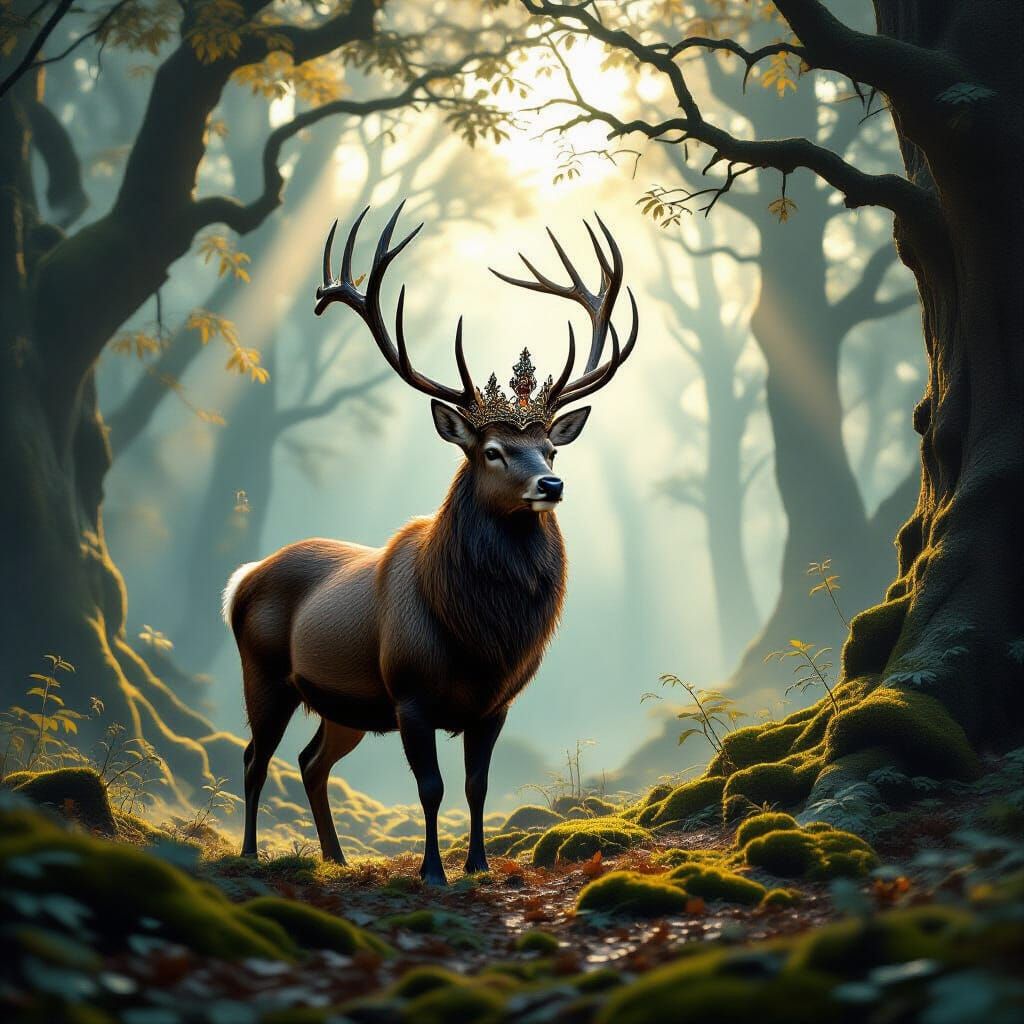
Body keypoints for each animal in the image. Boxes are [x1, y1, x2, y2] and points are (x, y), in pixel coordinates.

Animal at [222, 203, 638, 885]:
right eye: (492, 450)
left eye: (549, 448)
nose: (551, 484)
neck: (479, 636)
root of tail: (242, 580)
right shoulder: (410, 693)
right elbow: (431, 787)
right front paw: (433, 872)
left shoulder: (495, 704)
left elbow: (477, 786)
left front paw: (478, 867)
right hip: (264, 671)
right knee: (256, 757)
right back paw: (253, 852)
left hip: (342, 705)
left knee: (311, 761)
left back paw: (336, 858)